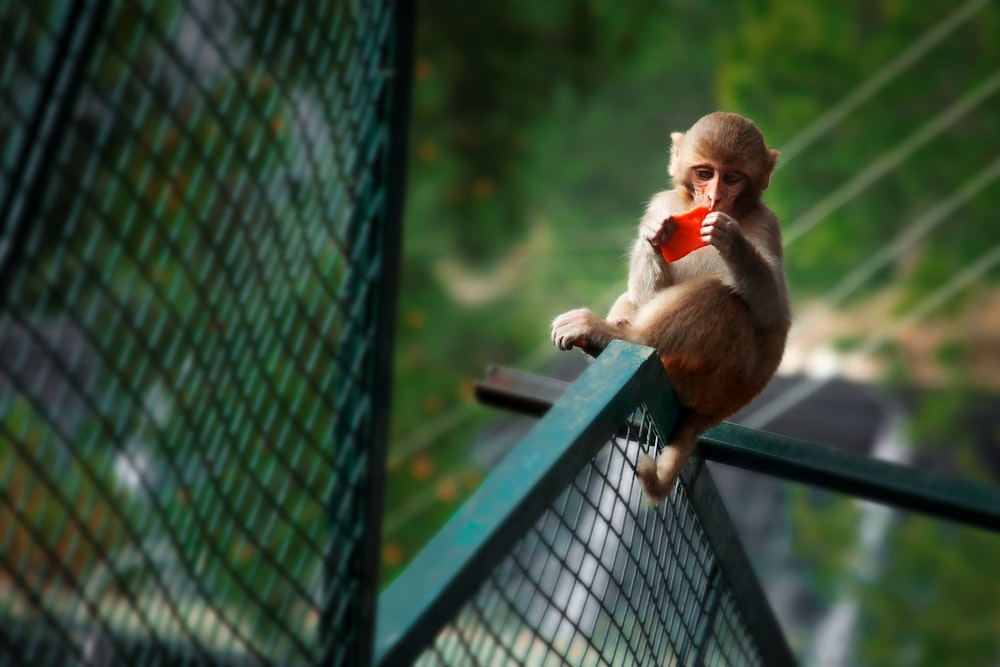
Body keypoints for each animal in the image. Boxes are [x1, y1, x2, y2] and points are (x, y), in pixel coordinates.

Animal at [548, 113, 788, 500]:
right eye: (705, 173)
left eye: (732, 177)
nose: (714, 197)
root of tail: (728, 404)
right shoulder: (664, 203)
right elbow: (647, 292)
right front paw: (653, 234)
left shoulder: (767, 224)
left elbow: (772, 310)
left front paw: (730, 238)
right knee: (639, 299)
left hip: (715, 379)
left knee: (721, 296)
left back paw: (614, 336)